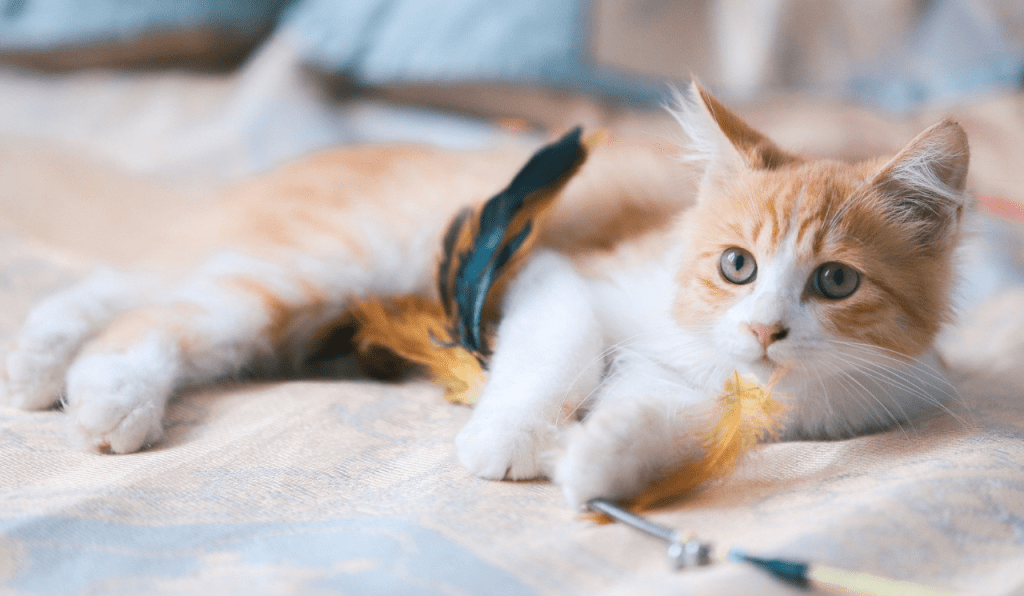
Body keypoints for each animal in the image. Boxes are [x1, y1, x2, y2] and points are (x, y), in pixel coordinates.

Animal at [0, 81, 966, 509]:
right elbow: (558, 353)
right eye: (737, 265)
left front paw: (601, 465)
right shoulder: (558, 273)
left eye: (835, 281)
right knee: (165, 305)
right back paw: (103, 394)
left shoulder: (727, 397)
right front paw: (508, 440)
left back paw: (43, 364)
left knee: (142, 279)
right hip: (347, 260)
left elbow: (666, 424)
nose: (766, 330)